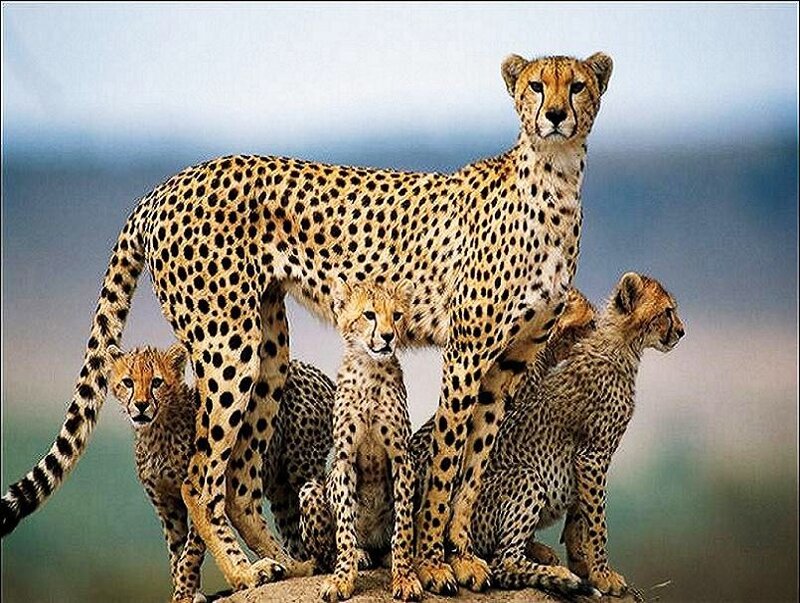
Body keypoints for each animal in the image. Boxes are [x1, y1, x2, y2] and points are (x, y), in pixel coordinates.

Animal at [108, 343, 334, 602]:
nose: (141, 405)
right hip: (281, 489)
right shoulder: (166, 506)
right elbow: (176, 551)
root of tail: (315, 371)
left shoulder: (200, 488)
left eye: (156, 382)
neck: (156, 428)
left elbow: (191, 550)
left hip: (302, 464)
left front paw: (186, 588)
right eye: (128, 382)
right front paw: (183, 591)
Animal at [299, 280, 422, 602]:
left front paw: (404, 576)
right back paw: (358, 555)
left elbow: (403, 526)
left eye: (397, 315)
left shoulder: (402, 458)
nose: (389, 336)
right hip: (310, 490)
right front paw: (342, 578)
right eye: (369, 315)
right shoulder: (344, 459)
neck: (369, 369)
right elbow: (344, 528)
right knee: (326, 552)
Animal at [470, 272, 685, 597]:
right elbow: (597, 520)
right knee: (502, 561)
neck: (622, 346)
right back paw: (559, 576)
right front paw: (602, 575)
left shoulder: (583, 459)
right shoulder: (593, 456)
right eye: (667, 312)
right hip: (526, 477)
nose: (682, 332)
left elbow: (579, 516)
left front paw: (585, 565)